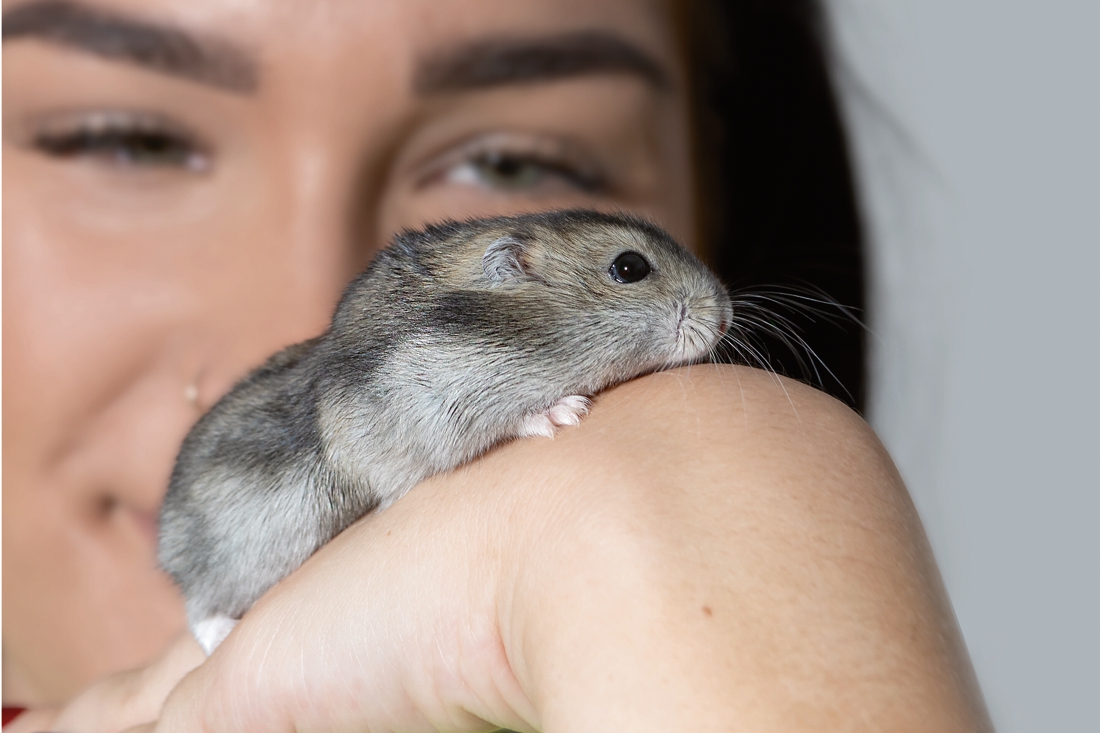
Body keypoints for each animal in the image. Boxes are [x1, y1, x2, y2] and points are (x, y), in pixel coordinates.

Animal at [158, 209, 733, 654]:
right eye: (629, 267)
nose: (724, 313)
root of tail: (165, 546)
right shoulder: (430, 409)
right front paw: (564, 411)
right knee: (198, 609)